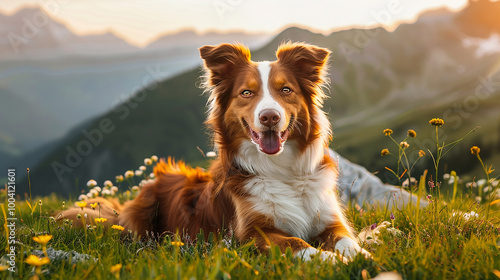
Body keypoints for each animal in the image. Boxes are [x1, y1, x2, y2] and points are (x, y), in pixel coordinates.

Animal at [59, 41, 372, 262]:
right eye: (246, 93)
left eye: (285, 90)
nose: (269, 117)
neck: (283, 172)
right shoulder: (251, 234)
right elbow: (298, 243)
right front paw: (330, 260)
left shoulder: (330, 221)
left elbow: (347, 241)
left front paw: (362, 257)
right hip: (142, 214)